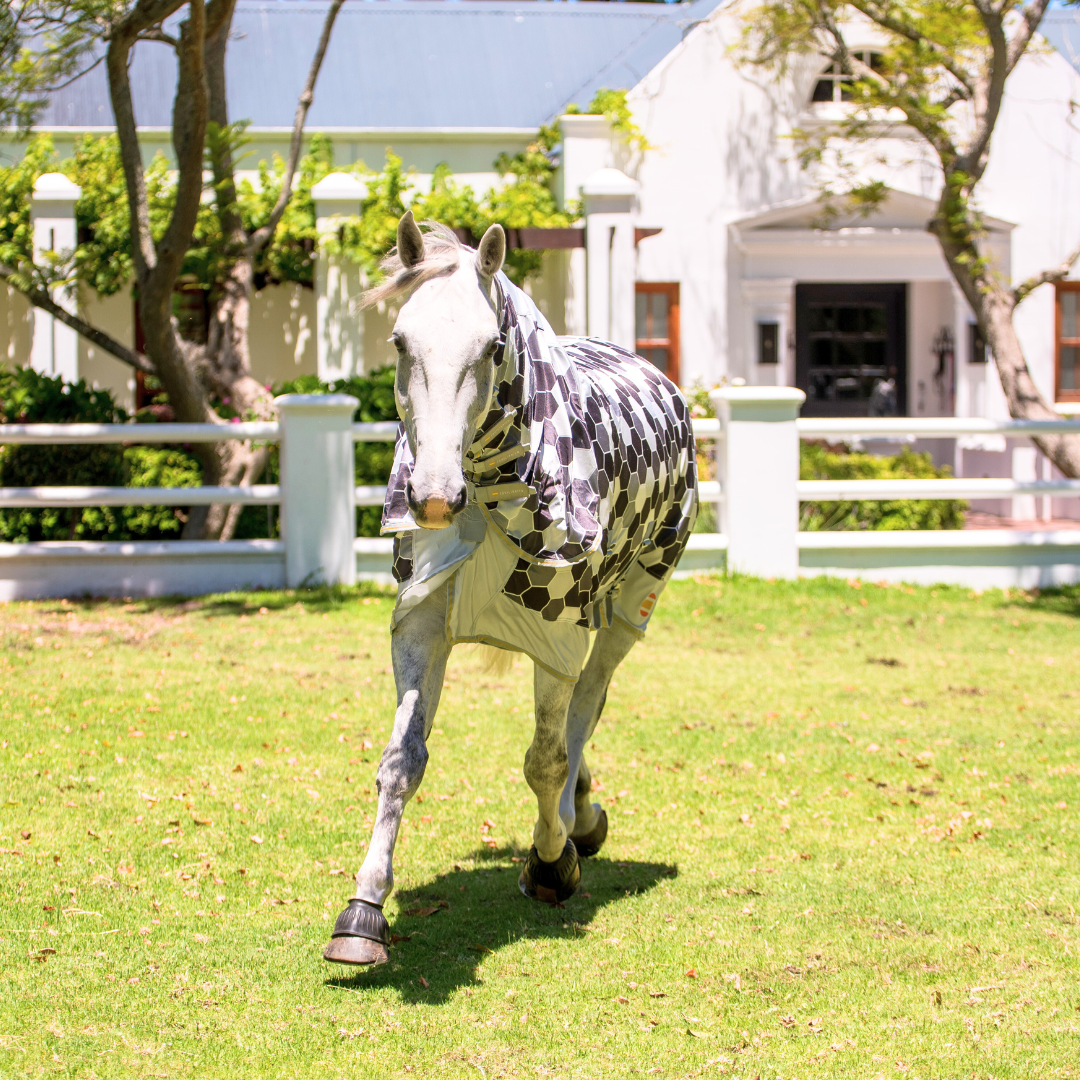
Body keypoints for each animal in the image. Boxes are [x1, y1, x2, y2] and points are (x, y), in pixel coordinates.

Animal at [319, 208, 695, 963]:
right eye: (400, 340)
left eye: (493, 346)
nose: (435, 496)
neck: (494, 490)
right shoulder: (421, 622)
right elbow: (401, 762)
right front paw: (363, 910)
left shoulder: (557, 636)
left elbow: (545, 760)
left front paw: (550, 864)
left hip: (627, 609)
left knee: (585, 706)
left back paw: (574, 822)